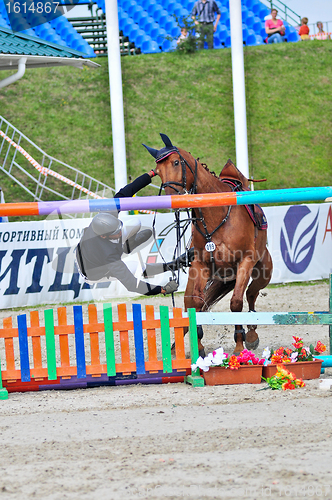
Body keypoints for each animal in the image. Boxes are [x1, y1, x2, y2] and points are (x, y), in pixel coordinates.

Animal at [143, 134, 272, 356]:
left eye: (176, 162)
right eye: (157, 172)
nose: (171, 199)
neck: (217, 216)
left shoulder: (245, 262)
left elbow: (236, 303)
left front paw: (239, 345)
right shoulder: (201, 265)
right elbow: (196, 304)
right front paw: (199, 346)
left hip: (263, 271)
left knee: (251, 293)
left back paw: (251, 334)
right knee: (191, 303)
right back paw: (177, 346)